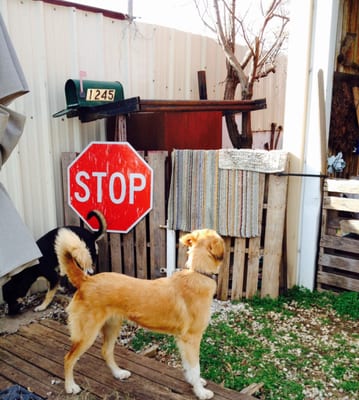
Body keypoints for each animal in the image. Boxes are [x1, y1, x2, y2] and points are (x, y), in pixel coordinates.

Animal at [55, 228, 225, 400]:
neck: (199, 273)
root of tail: (86, 280)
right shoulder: (192, 338)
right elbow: (195, 367)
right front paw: (201, 392)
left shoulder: (183, 340)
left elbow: (189, 367)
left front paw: (194, 382)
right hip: (87, 334)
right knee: (68, 358)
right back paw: (70, 386)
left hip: (112, 326)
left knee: (105, 351)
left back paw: (118, 373)